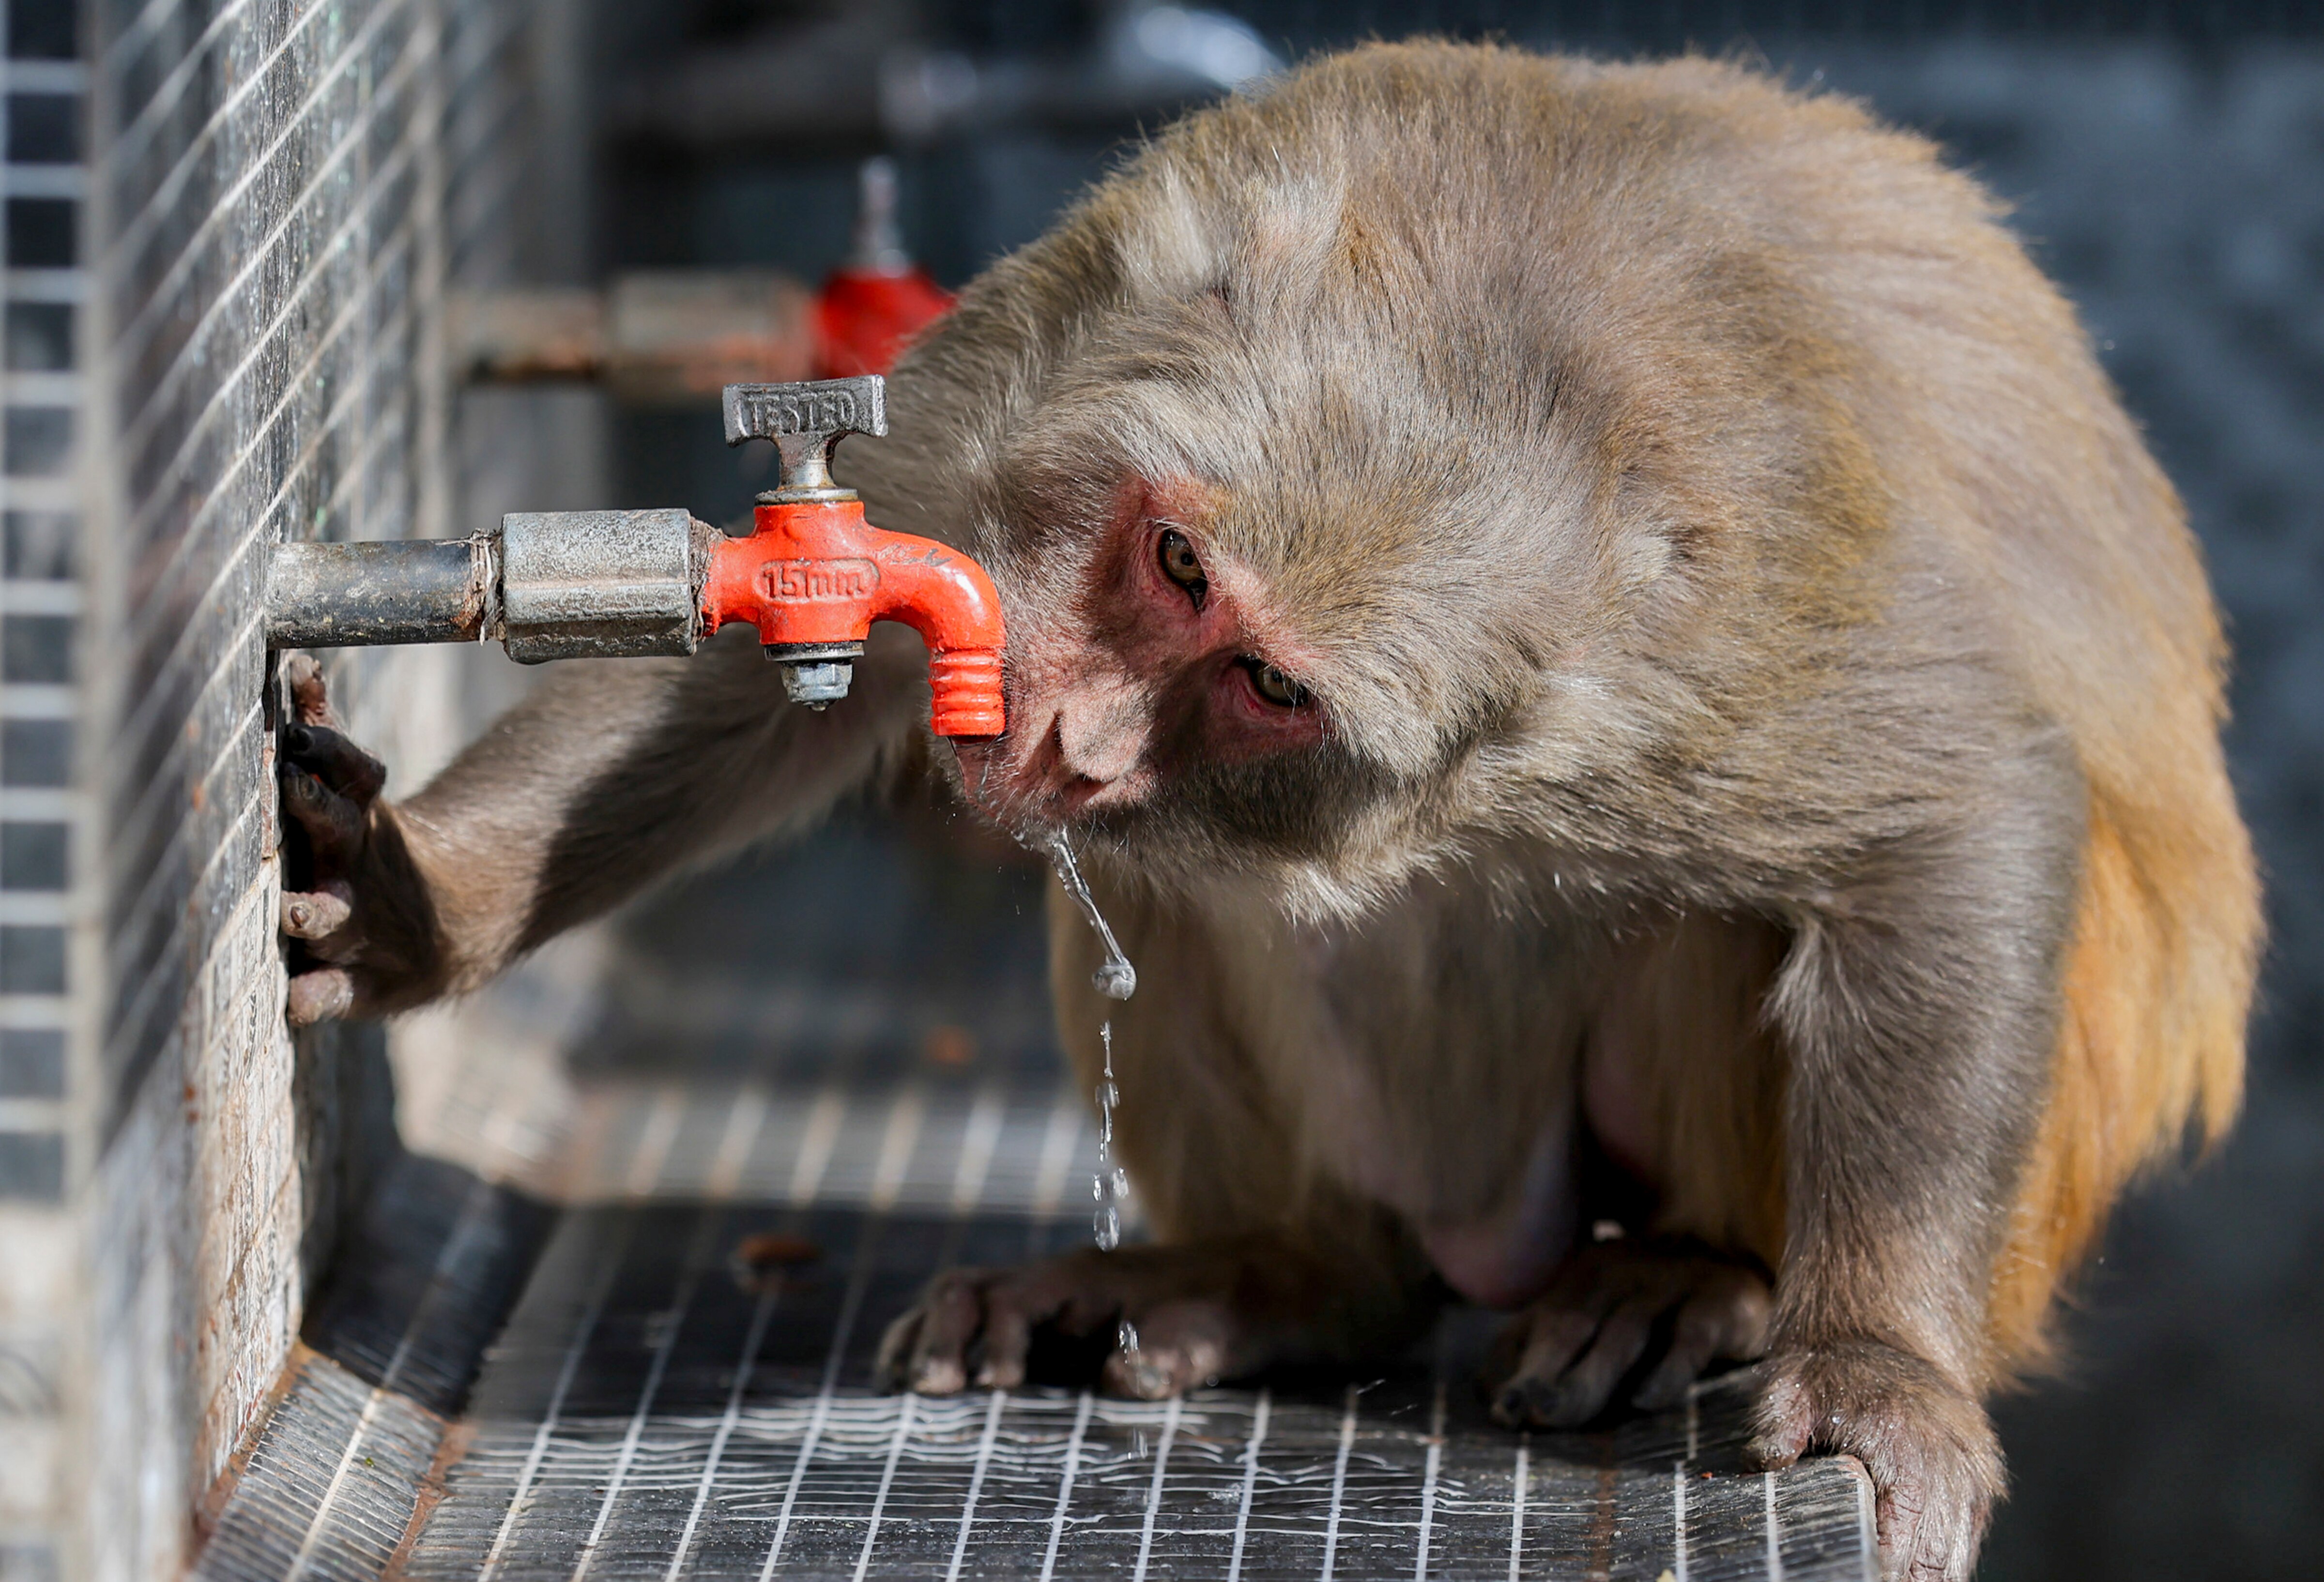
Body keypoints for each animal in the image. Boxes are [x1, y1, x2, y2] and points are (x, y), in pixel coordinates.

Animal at [274, 44, 2259, 1581]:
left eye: (1272, 682)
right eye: (1170, 558)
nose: (1070, 737)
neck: (1507, 315)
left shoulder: (1711, 638)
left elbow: (1954, 806)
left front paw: (1873, 1360)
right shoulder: (1065, 337)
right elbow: (775, 628)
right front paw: (432, 902)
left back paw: (1699, 1277)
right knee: (1194, 894)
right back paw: (1287, 1277)